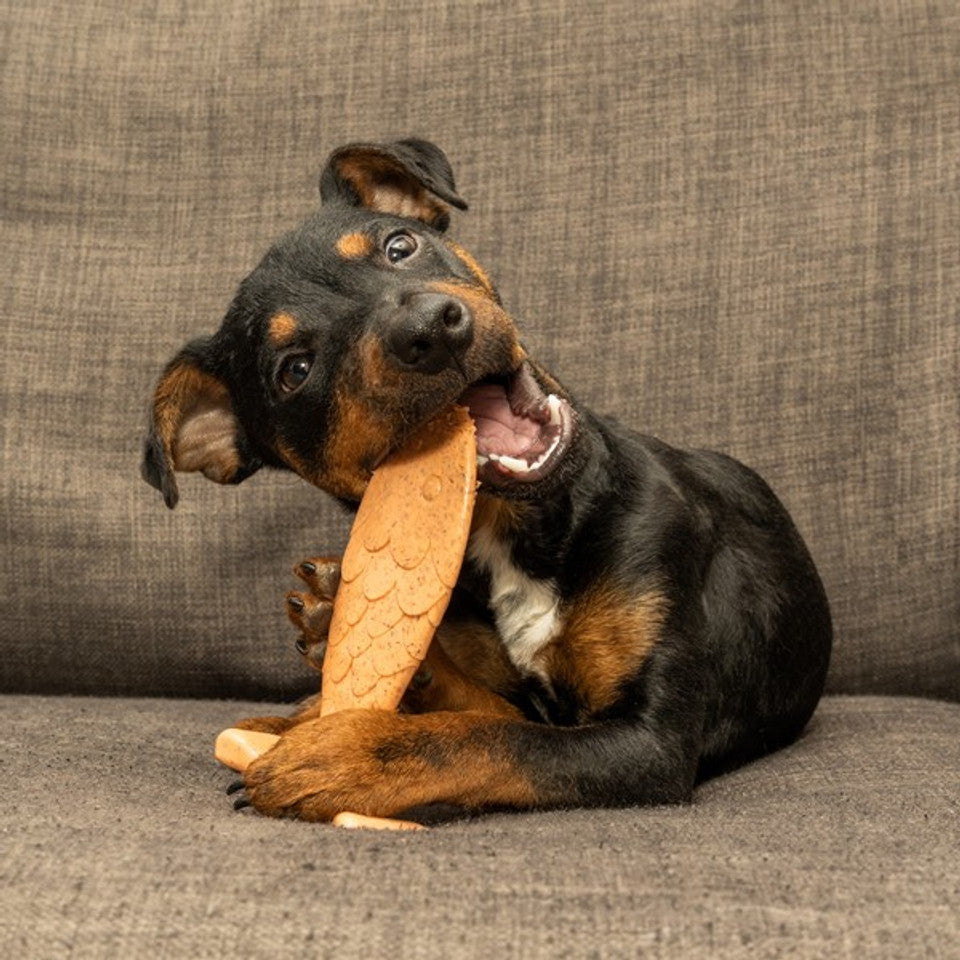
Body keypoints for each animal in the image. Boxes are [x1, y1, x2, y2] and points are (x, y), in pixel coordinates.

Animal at [142, 139, 832, 820]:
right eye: (294, 371)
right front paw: (353, 665)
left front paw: (345, 754)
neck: (521, 531)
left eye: (400, 246)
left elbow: (484, 739)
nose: (429, 329)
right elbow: (489, 714)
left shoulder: (652, 740)